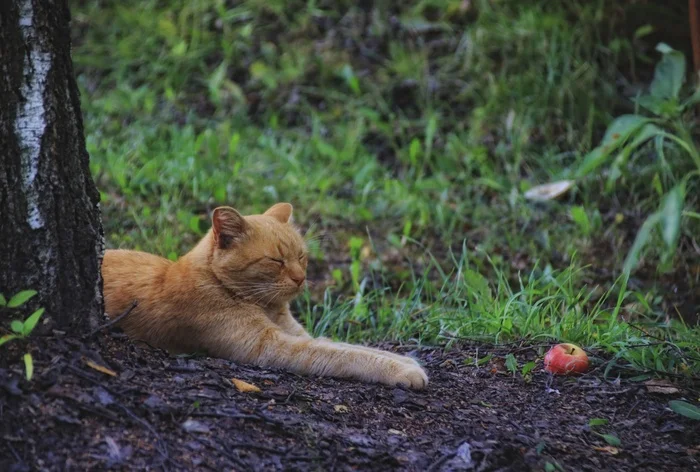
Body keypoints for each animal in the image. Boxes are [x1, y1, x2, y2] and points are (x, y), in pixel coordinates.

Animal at [100, 203, 426, 388]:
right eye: (276, 261)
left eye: (301, 256)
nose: (301, 278)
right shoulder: (271, 346)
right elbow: (341, 354)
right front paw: (403, 370)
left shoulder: (298, 334)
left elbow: (346, 345)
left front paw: (405, 360)